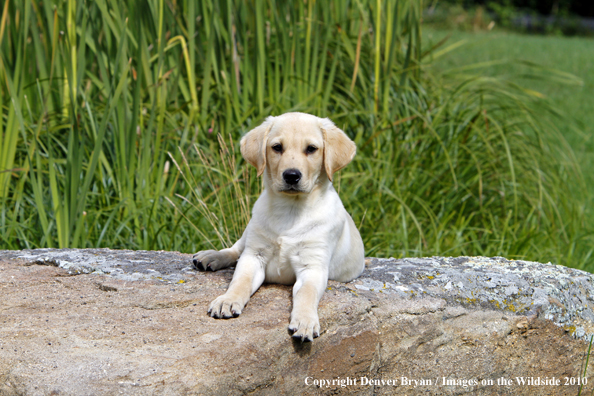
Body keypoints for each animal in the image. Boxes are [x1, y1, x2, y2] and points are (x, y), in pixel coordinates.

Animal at [192, 111, 364, 340]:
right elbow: (240, 280)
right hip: (251, 228)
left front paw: (305, 321)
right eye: (277, 147)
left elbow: (307, 293)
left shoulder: (313, 266)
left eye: (311, 149)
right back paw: (211, 256)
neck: (290, 210)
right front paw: (228, 299)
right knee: (235, 249)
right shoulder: (254, 256)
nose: (291, 175)